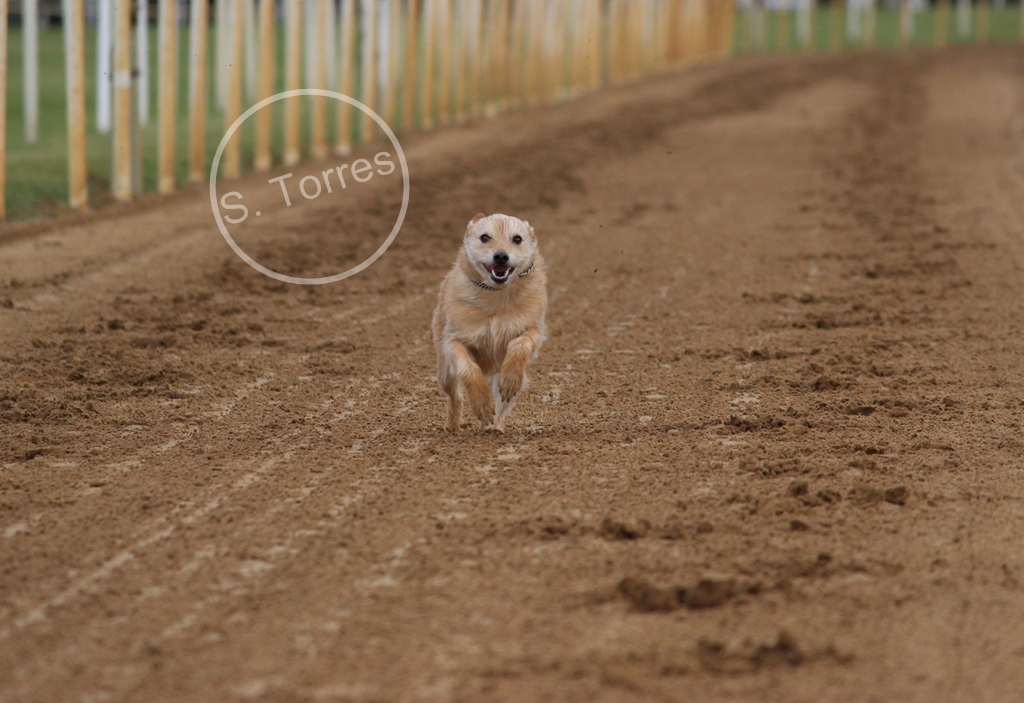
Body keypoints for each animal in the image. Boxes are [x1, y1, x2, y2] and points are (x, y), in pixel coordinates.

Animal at [430, 211, 548, 431]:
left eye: (517, 239)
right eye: (485, 237)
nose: (501, 256)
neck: (496, 295)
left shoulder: (533, 330)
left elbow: (520, 346)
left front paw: (510, 380)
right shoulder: (454, 341)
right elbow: (468, 369)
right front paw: (482, 405)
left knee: (502, 404)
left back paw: (496, 428)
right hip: (445, 373)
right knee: (455, 396)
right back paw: (452, 426)